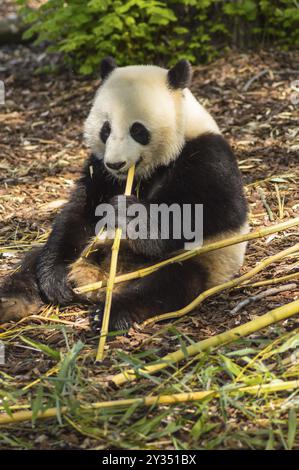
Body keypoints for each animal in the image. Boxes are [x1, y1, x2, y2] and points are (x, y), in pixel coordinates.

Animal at [0, 57, 248, 330]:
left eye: (138, 130)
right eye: (105, 129)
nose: (116, 164)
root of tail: (103, 281)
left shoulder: (208, 154)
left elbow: (214, 210)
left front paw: (128, 213)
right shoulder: (98, 169)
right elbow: (78, 213)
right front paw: (56, 279)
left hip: (197, 260)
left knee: (167, 285)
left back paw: (110, 313)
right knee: (32, 261)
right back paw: (10, 301)